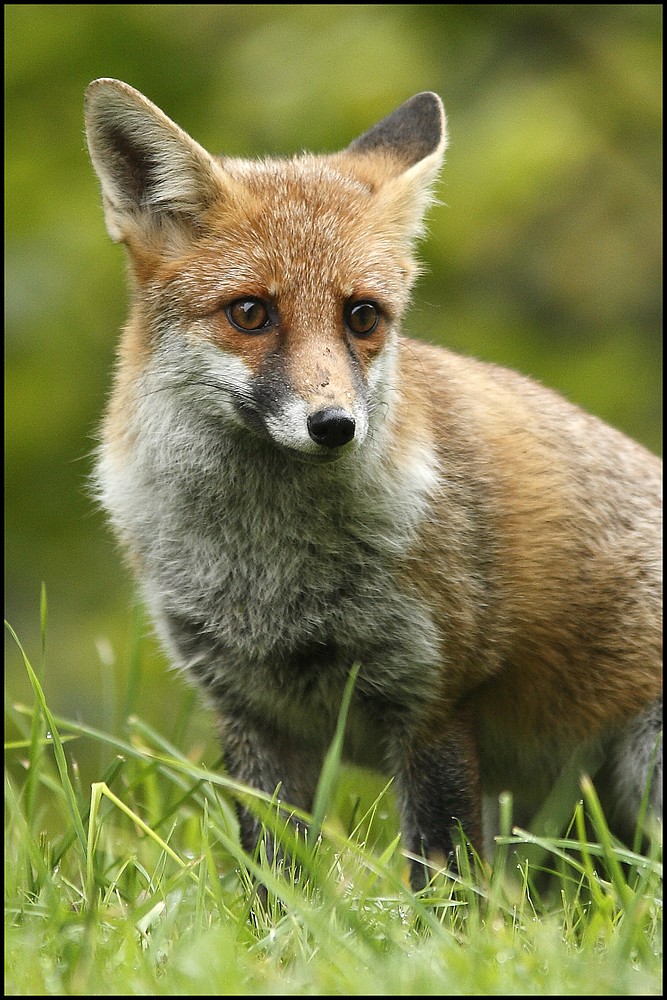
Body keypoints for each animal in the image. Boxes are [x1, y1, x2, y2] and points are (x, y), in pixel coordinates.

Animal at [87, 82, 664, 888]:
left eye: (362, 316)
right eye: (250, 313)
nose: (335, 425)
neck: (266, 569)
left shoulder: (432, 699)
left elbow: (443, 883)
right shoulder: (251, 713)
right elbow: (276, 880)